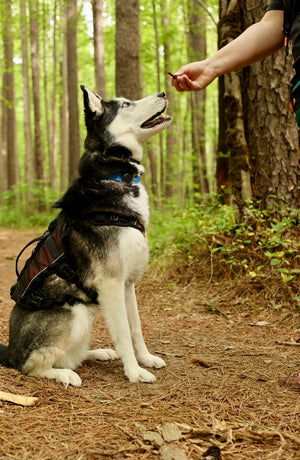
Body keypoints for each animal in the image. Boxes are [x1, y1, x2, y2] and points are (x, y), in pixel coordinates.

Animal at [0, 86, 171, 384]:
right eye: (125, 104)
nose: (163, 91)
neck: (116, 174)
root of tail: (9, 352)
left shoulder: (128, 284)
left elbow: (136, 328)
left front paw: (146, 359)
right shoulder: (111, 284)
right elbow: (123, 333)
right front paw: (134, 372)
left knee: (72, 355)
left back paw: (98, 353)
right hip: (74, 312)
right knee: (32, 365)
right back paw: (64, 374)